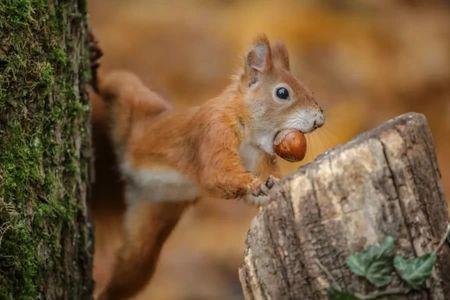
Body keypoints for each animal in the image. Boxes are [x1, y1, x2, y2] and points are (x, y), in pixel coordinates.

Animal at [94, 34, 324, 298]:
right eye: (282, 92)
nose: (319, 119)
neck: (249, 131)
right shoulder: (213, 130)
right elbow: (216, 172)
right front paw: (253, 183)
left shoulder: (257, 156)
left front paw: (271, 185)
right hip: (137, 104)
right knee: (118, 82)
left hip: (152, 222)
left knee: (133, 266)